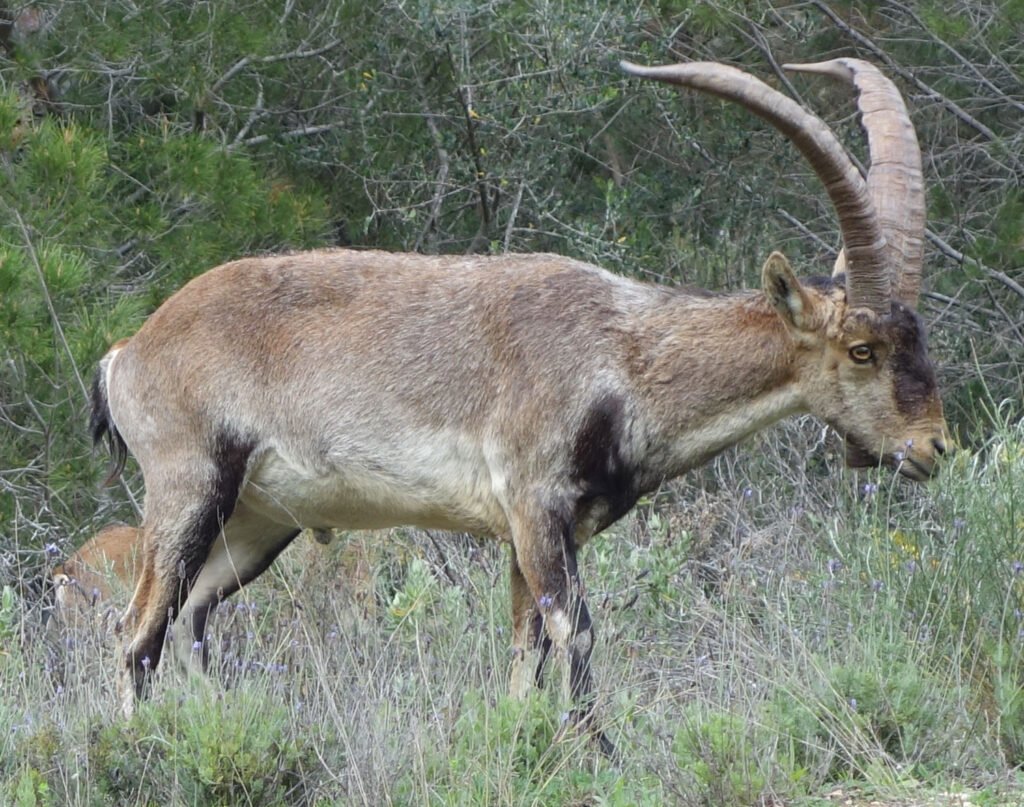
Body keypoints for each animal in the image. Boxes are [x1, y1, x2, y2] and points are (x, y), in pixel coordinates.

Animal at [92, 59, 946, 745]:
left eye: (919, 337)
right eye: (862, 349)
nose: (934, 447)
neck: (623, 354)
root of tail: (128, 352)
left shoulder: (533, 531)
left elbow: (524, 643)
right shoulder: (535, 504)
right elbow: (576, 630)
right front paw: (599, 753)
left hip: (255, 523)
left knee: (190, 621)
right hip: (188, 488)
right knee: (136, 630)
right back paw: (136, 748)